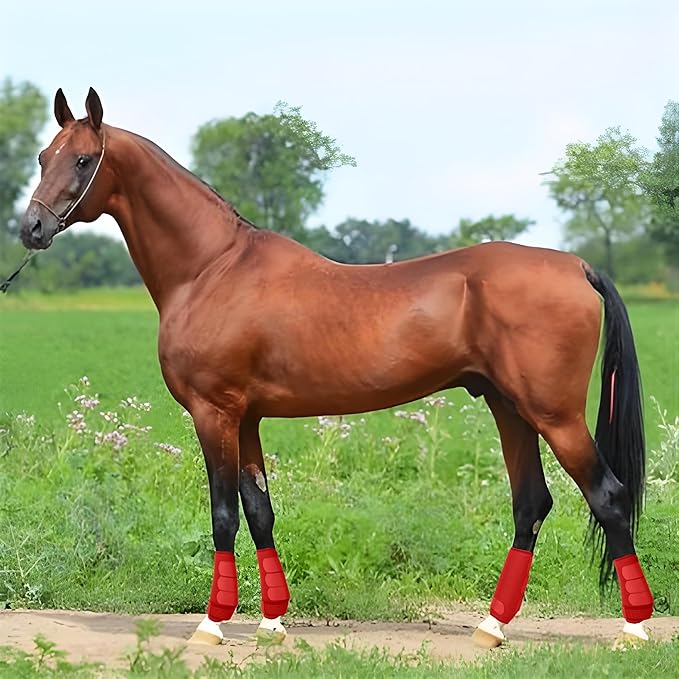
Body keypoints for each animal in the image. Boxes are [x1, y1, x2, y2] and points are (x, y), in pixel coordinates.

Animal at [20, 88, 654, 647]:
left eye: (82, 159)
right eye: (43, 156)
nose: (30, 229)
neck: (212, 268)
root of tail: (576, 266)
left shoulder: (214, 413)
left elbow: (224, 514)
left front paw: (212, 625)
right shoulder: (247, 419)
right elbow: (259, 511)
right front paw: (272, 623)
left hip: (555, 415)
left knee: (608, 497)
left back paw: (633, 630)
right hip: (510, 409)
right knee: (531, 505)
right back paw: (492, 627)